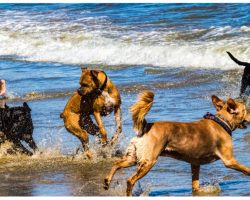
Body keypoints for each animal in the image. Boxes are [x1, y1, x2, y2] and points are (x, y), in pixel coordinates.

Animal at [103, 91, 250, 196]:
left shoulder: (195, 163)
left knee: (117, 164)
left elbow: (195, 184)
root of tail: (146, 126)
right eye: (246, 110)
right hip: (148, 161)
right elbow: (246, 169)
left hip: (133, 157)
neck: (221, 121)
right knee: (130, 180)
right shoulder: (229, 160)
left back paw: (107, 181)